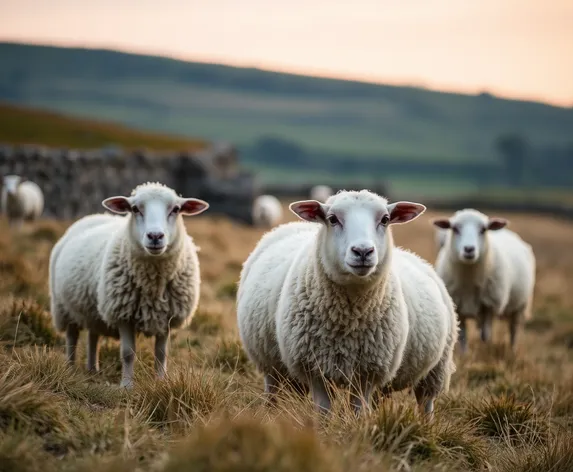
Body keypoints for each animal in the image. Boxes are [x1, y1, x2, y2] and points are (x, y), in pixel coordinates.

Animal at [49, 181, 209, 388]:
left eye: (176, 209)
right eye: (134, 209)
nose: (155, 236)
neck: (153, 284)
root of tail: (94, 216)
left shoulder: (166, 317)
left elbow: (161, 353)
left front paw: (161, 381)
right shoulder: (123, 315)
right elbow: (127, 353)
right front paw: (126, 386)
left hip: (94, 309)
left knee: (93, 336)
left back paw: (92, 368)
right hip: (64, 308)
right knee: (72, 338)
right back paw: (69, 368)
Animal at [236, 189, 456, 416]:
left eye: (385, 219)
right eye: (332, 219)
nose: (363, 251)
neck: (348, 317)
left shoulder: (368, 372)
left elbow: (359, 410)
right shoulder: (315, 369)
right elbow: (323, 412)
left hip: (436, 368)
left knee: (426, 403)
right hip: (268, 362)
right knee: (272, 390)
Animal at [434, 208, 536, 352]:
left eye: (483, 229)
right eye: (455, 228)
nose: (469, 249)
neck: (469, 279)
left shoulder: (489, 305)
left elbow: (485, 335)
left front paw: (484, 348)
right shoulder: (458, 306)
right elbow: (463, 336)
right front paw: (464, 353)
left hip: (520, 305)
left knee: (513, 330)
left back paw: (512, 350)